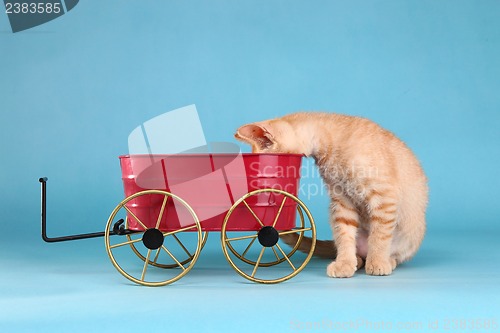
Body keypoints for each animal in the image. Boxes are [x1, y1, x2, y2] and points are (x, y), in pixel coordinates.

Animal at [233, 113, 426, 276]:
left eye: (265, 166)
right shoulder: (342, 201)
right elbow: (345, 234)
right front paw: (344, 263)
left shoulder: (384, 197)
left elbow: (380, 234)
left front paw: (378, 260)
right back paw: (356, 260)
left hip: (409, 238)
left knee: (396, 252)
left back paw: (387, 260)